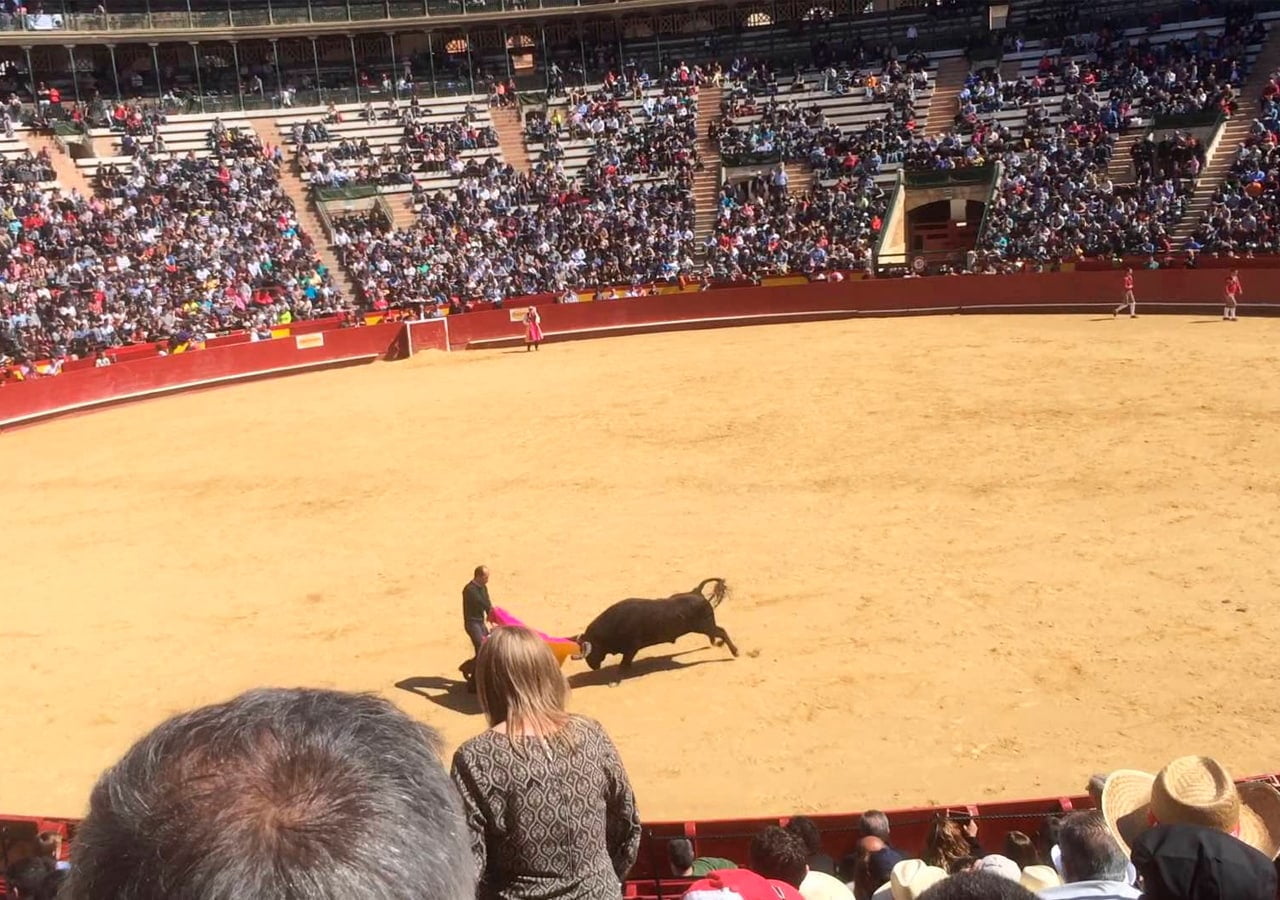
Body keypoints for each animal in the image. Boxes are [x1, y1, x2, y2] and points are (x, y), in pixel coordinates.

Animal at [573, 578, 738, 684]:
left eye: (590, 650)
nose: (593, 667)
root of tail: (696, 591)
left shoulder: (631, 648)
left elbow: (625, 662)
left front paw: (619, 675)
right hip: (704, 626)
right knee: (717, 632)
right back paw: (717, 644)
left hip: (704, 626)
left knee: (721, 631)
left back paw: (734, 652)